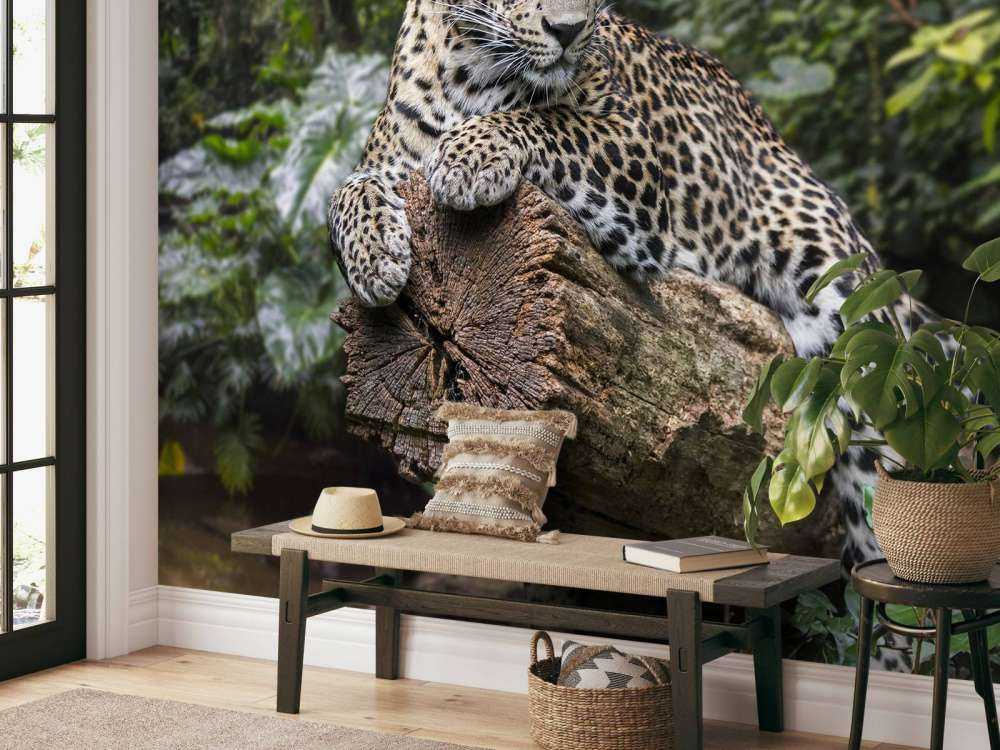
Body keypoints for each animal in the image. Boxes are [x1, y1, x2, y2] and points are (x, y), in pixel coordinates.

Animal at [326, 0, 939, 608]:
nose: (569, 30)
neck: (473, 72)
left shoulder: (632, 154)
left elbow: (551, 121)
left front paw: (467, 156)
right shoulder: (388, 159)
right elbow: (344, 191)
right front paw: (375, 257)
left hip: (849, 309)